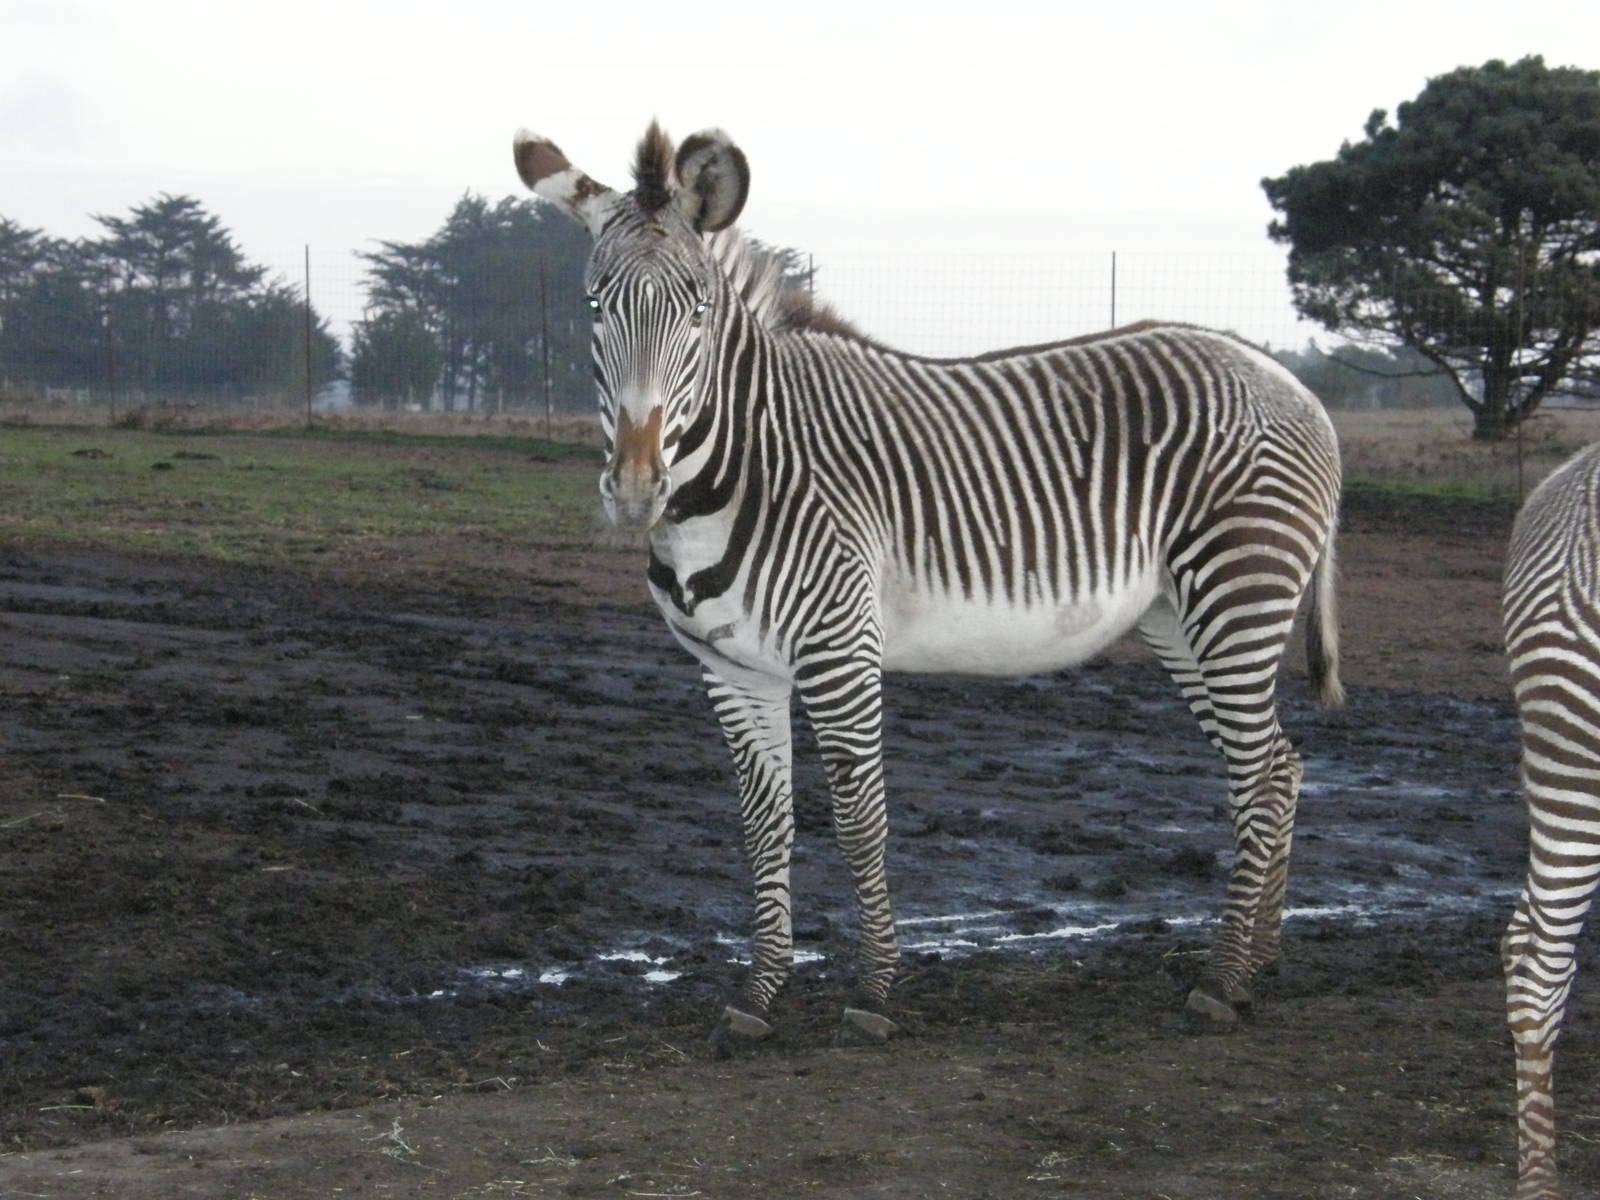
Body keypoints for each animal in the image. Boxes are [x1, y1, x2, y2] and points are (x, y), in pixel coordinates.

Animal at [513, 122, 1344, 1044]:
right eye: (595, 307)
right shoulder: (733, 669)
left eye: (696, 310)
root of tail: (1288, 381)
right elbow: (764, 826)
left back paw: (1223, 977)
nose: (634, 488)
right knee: (1279, 765)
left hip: (1237, 591)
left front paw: (876, 992)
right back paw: (1257, 962)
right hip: (1178, 618)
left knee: (1261, 771)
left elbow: (858, 816)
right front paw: (759, 993)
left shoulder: (839, 652)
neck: (743, 467)